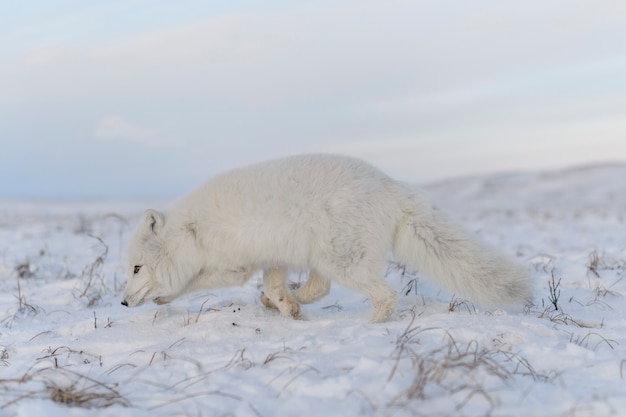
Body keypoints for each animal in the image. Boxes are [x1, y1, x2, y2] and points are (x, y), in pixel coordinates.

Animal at [122, 154, 532, 322]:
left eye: (136, 269)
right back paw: (291, 301)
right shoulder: (273, 258)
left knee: (384, 294)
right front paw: (285, 306)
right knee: (321, 288)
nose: (123, 303)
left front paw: (164, 297)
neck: (191, 231)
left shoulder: (234, 266)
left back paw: (374, 326)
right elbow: (272, 285)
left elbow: (192, 283)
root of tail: (391, 186)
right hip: (322, 256)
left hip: (344, 260)